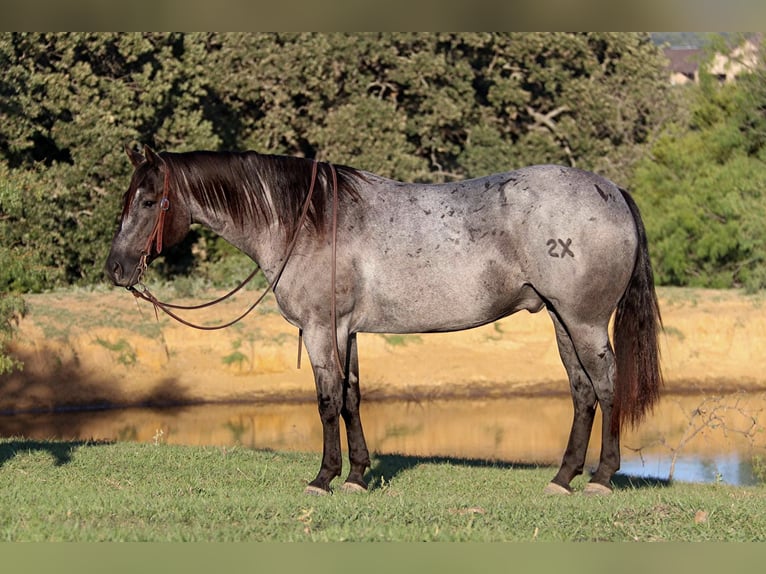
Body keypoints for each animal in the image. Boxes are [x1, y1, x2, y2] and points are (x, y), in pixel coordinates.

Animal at [105, 146, 664, 498]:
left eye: (150, 200)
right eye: (127, 199)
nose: (115, 269)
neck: (308, 221)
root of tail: (611, 189)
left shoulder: (321, 331)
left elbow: (327, 401)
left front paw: (324, 478)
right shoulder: (346, 332)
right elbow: (352, 398)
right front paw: (356, 476)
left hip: (585, 322)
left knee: (607, 387)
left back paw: (601, 478)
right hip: (561, 320)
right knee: (582, 392)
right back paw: (563, 478)